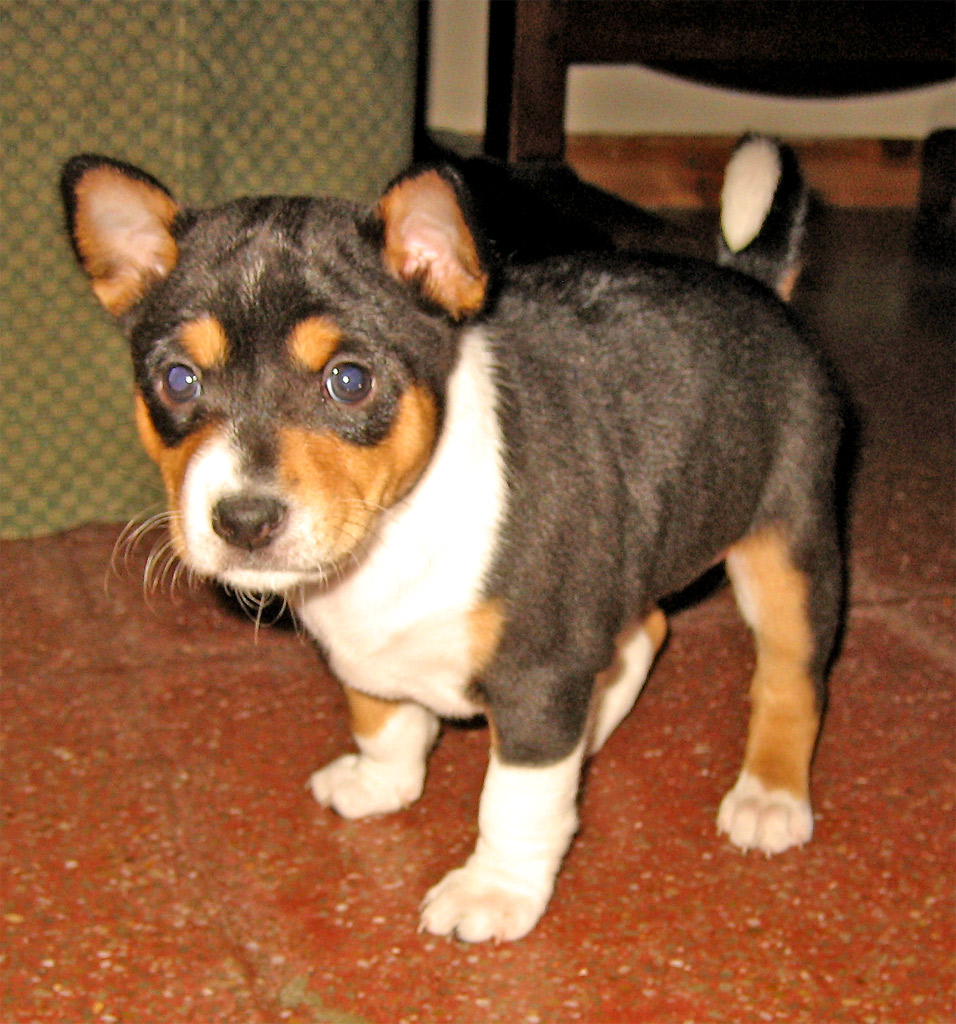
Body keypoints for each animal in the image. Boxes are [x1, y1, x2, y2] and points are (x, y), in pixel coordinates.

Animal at [59, 138, 843, 942]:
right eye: (179, 380)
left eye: (349, 380)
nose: (244, 520)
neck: (397, 529)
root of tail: (753, 283)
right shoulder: (368, 648)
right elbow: (380, 717)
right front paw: (382, 783)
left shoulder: (537, 671)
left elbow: (515, 799)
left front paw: (495, 890)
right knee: (648, 626)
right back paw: (595, 726)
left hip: (787, 553)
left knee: (790, 680)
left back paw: (769, 797)